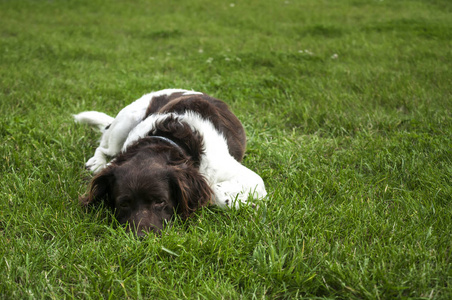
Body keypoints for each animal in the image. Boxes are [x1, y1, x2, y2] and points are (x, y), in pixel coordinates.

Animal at [72, 88, 266, 236]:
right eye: (123, 204)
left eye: (160, 201)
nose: (141, 237)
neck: (169, 139)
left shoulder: (249, 177)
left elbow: (214, 190)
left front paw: (242, 202)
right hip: (123, 125)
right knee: (104, 147)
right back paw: (97, 163)